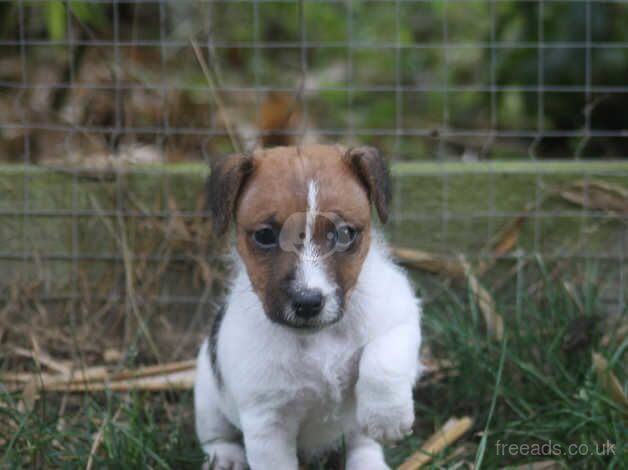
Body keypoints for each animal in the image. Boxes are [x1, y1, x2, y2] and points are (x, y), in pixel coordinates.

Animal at [195, 144, 422, 470]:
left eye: (344, 234)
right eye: (265, 235)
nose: (308, 302)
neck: (317, 338)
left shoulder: (400, 315)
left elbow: (383, 359)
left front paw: (386, 416)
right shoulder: (269, 424)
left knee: (362, 442)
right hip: (207, 398)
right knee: (216, 436)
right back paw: (225, 457)